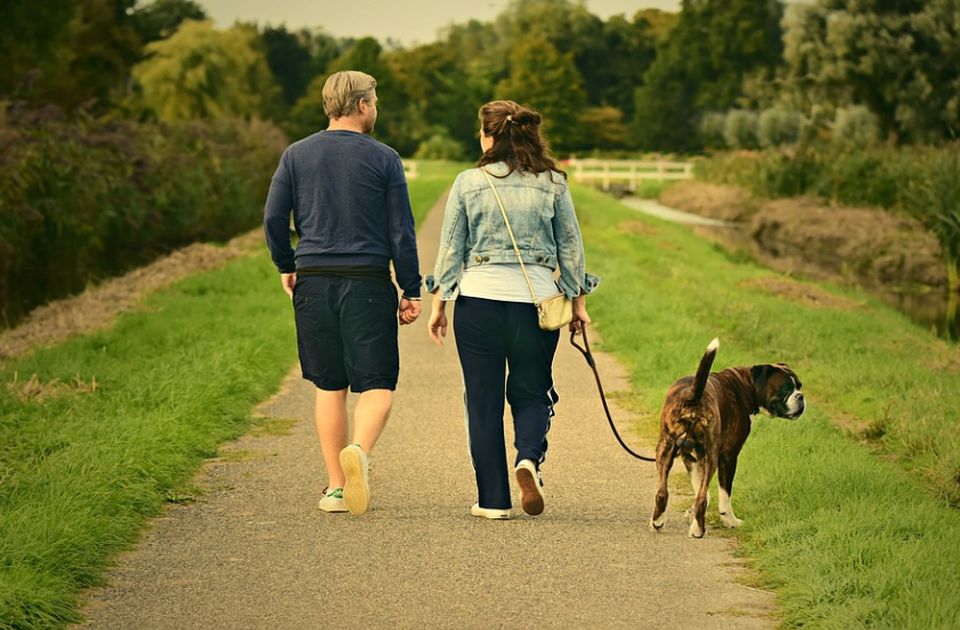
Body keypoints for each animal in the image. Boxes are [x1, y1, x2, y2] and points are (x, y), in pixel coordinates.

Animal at [648, 338, 808, 540]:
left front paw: (692, 515)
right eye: (785, 389)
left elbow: (701, 490)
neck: (746, 385)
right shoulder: (728, 456)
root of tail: (693, 396)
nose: (801, 396)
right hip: (711, 455)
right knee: (701, 498)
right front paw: (730, 521)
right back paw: (698, 531)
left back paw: (658, 522)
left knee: (663, 492)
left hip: (665, 449)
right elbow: (723, 495)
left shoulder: (690, 456)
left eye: (799, 386)